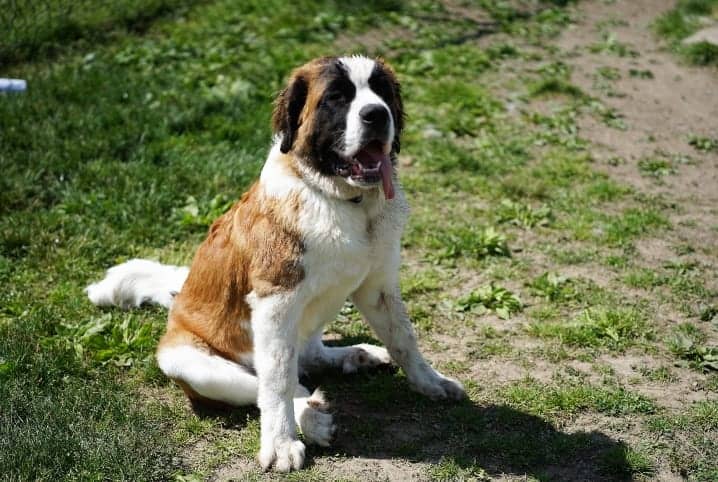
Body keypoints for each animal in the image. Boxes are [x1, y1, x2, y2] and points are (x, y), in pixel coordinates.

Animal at [86, 55, 466, 470]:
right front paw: (282, 443)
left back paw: (356, 355)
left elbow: (404, 339)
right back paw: (311, 416)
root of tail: (178, 299)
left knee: (310, 354)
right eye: (336, 97)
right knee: (274, 382)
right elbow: (277, 381)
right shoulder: (276, 303)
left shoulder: (378, 285)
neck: (343, 201)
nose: (376, 114)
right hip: (188, 363)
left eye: (381, 92)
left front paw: (430, 382)